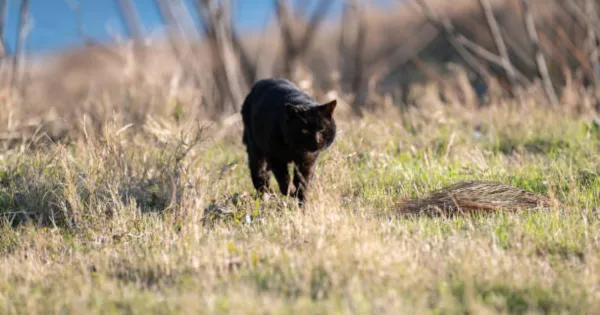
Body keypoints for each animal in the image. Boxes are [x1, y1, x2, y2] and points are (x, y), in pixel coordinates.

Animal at [243, 78, 338, 206]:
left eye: (322, 129)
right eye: (305, 130)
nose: (316, 140)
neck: (294, 150)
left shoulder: (307, 162)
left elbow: (303, 182)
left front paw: (302, 202)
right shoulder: (276, 158)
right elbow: (284, 180)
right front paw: (291, 192)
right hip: (256, 150)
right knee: (259, 174)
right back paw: (266, 195)